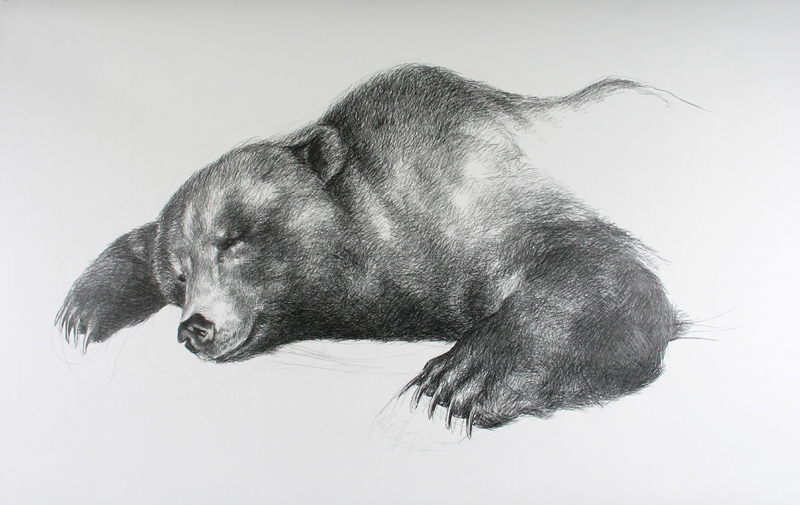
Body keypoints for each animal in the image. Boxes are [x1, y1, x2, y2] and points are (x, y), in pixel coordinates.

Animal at [57, 64, 685, 436]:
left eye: (233, 240)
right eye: (179, 274)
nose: (196, 327)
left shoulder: (472, 189)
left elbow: (602, 268)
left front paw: (461, 378)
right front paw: (81, 311)